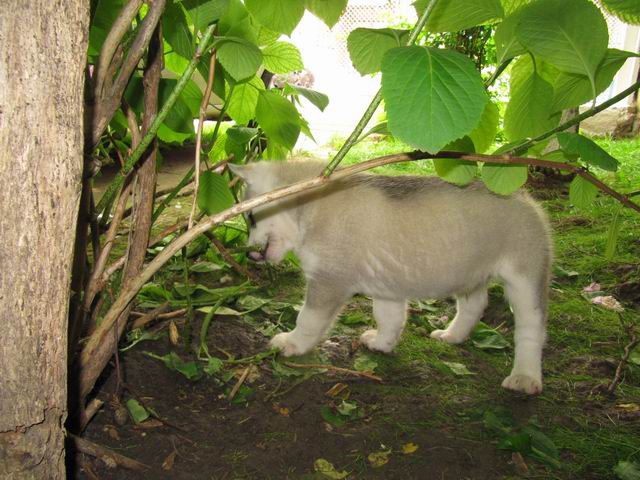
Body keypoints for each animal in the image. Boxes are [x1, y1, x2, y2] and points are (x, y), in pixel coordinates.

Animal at [231, 161, 556, 394]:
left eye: (250, 218)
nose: (248, 253)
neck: (314, 204)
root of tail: (525, 196)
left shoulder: (328, 281)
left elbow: (308, 319)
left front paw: (293, 343)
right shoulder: (387, 285)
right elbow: (389, 318)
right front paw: (382, 343)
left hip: (524, 281)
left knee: (532, 330)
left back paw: (525, 376)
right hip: (467, 273)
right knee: (475, 304)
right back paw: (453, 335)